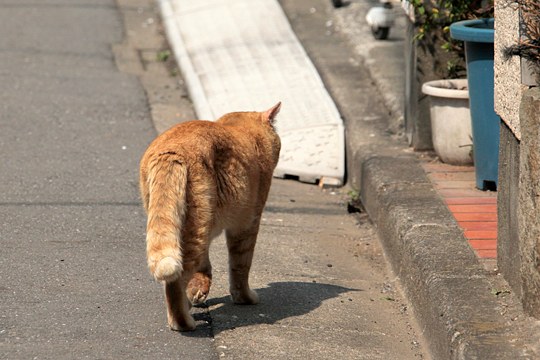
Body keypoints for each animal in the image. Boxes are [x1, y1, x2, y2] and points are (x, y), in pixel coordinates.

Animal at [139, 102, 282, 330]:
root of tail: (172, 149)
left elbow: (204, 268)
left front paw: (197, 292)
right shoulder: (247, 225)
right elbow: (240, 267)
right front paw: (244, 298)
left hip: (188, 226)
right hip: (196, 229)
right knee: (174, 283)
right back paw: (182, 322)